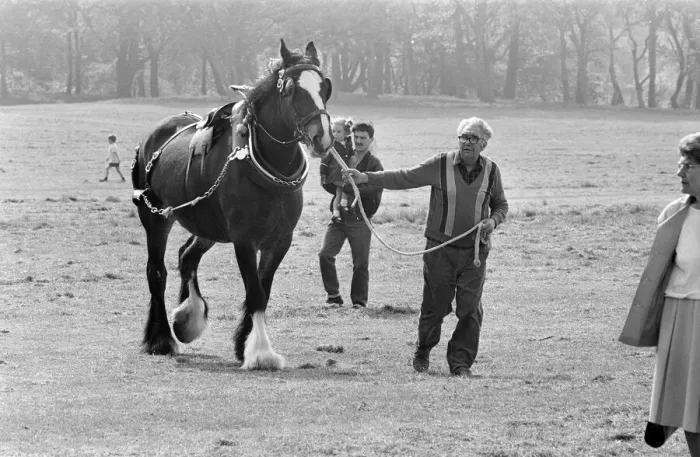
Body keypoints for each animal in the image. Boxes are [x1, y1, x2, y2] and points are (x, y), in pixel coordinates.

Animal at [130, 40, 333, 370]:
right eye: (291, 89)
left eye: (325, 86)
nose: (322, 136)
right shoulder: (244, 239)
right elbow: (255, 293)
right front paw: (260, 352)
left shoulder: (280, 240)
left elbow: (263, 289)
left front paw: (243, 344)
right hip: (155, 217)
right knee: (156, 273)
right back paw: (160, 339)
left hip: (206, 225)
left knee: (187, 257)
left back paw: (187, 318)